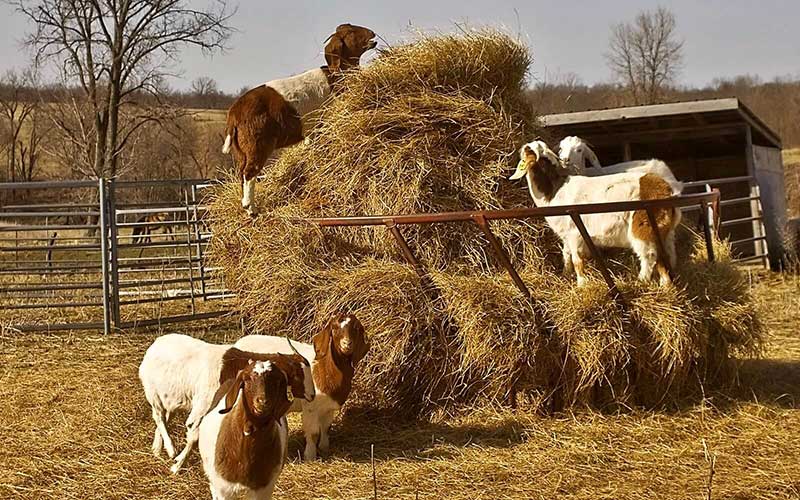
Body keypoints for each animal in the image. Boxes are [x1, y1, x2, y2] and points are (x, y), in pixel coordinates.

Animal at [222, 23, 378, 216]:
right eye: (350, 33)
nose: (372, 33)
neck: (336, 76)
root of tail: (234, 115)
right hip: (257, 144)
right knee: (250, 172)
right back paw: (251, 209)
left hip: (240, 150)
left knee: (241, 173)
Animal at [231, 312, 368, 460]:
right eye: (335, 328)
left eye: (356, 328)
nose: (347, 344)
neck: (323, 367)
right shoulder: (310, 406)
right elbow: (313, 433)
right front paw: (310, 456)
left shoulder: (328, 407)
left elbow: (326, 428)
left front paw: (324, 448)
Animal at [512, 141, 680, 288]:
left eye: (529, 150)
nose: (522, 147)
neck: (554, 191)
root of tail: (667, 191)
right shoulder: (565, 235)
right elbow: (566, 254)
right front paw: (565, 274)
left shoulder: (575, 234)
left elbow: (577, 260)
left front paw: (581, 285)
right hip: (661, 232)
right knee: (662, 257)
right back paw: (665, 286)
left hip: (642, 228)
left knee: (649, 256)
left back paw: (641, 282)